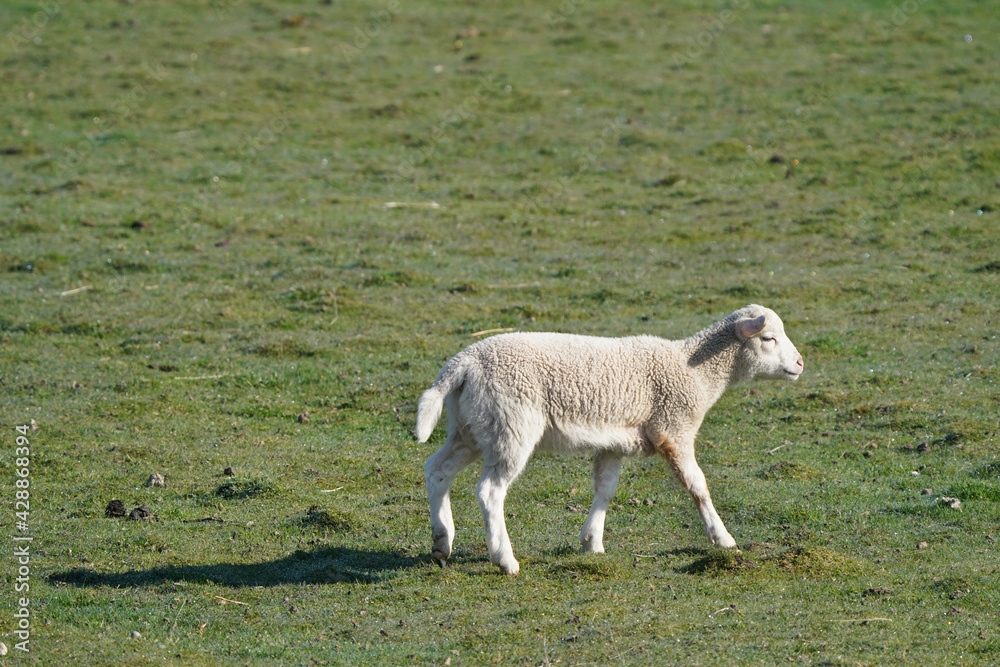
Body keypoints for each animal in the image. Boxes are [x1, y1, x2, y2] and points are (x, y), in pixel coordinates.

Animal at [415, 304, 803, 575]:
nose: (800, 363)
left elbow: (605, 489)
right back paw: (504, 559)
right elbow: (698, 487)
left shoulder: (613, 442)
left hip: (471, 427)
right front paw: (722, 539)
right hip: (511, 425)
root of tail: (463, 363)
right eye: (768, 339)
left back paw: (441, 543)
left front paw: (592, 542)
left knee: (437, 469)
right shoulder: (673, 429)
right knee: (490, 491)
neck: (695, 370)